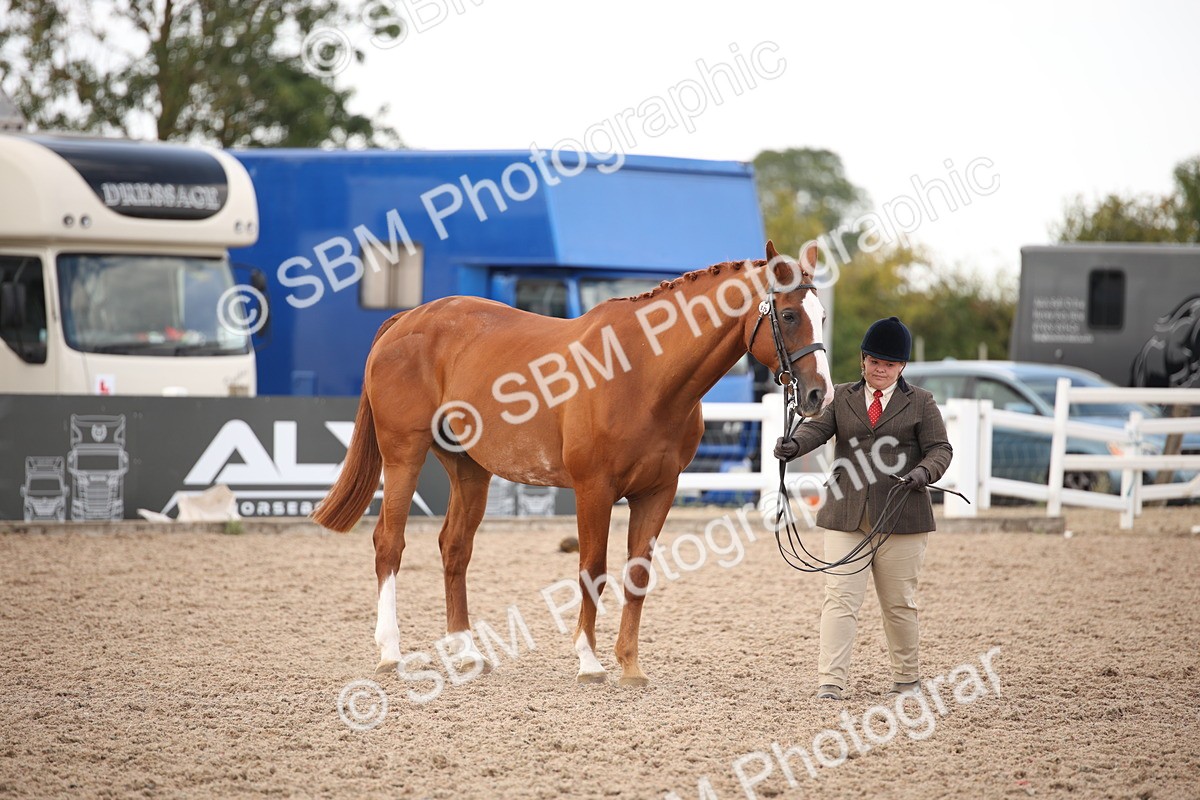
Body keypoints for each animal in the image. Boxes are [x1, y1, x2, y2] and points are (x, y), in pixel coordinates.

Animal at [312, 240, 833, 686]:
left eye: (822, 315)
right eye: (788, 314)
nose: (817, 395)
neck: (643, 373)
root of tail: (406, 319)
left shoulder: (658, 492)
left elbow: (637, 574)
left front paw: (631, 665)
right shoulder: (593, 489)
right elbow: (592, 569)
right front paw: (589, 662)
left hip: (469, 469)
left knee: (454, 548)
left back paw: (467, 652)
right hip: (404, 454)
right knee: (389, 543)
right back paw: (390, 652)